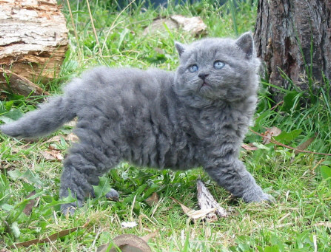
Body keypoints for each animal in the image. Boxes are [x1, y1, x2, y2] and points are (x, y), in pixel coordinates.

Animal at [1, 32, 274, 215]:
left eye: (218, 64)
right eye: (192, 67)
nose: (202, 74)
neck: (221, 107)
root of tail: (81, 87)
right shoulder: (219, 155)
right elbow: (240, 177)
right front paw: (261, 198)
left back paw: (102, 194)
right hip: (103, 141)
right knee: (74, 167)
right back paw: (70, 206)